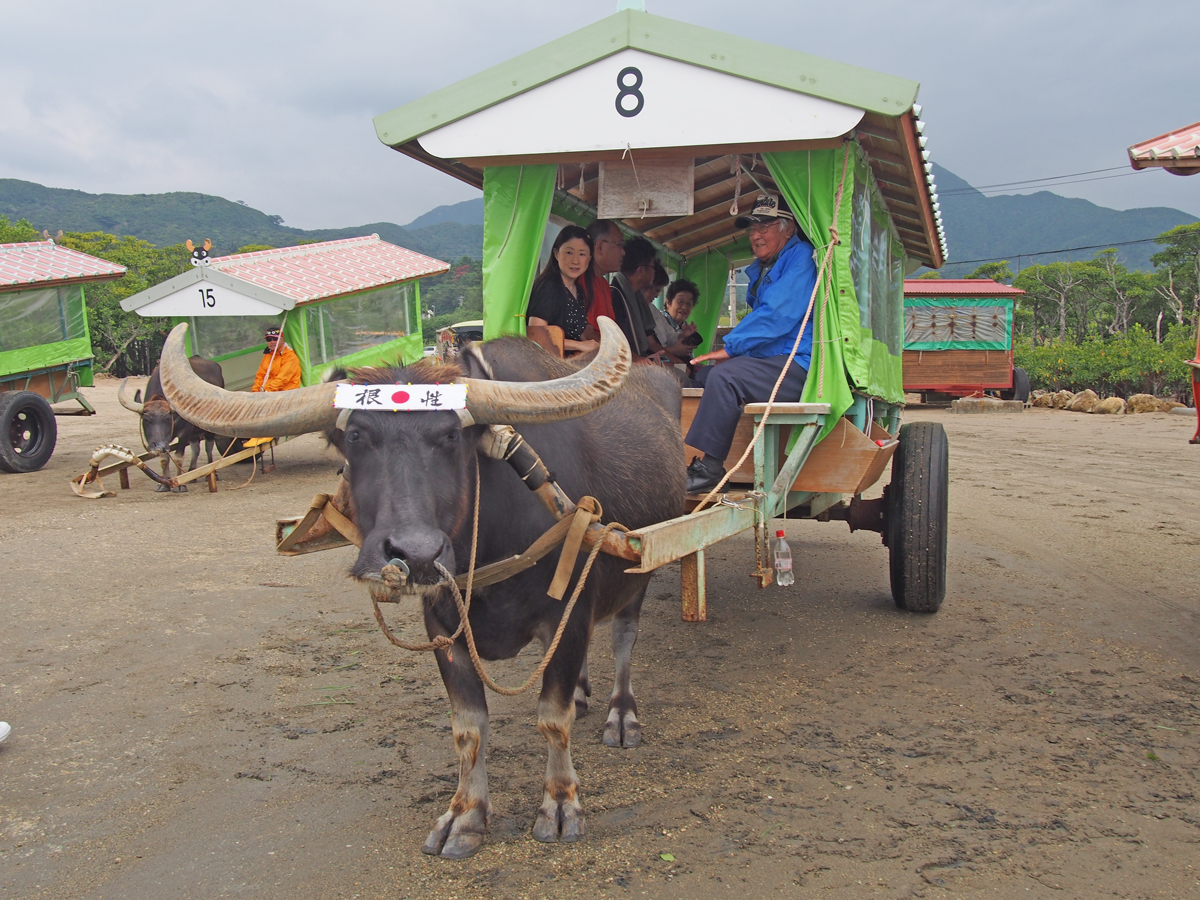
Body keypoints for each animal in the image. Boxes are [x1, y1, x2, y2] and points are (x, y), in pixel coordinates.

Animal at [119, 355, 226, 494]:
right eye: (146, 420)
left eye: (167, 419)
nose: (157, 446)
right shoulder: (167, 440)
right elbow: (164, 459)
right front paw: (164, 484)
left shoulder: (184, 433)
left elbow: (178, 457)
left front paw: (180, 484)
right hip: (193, 432)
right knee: (195, 448)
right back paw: (192, 473)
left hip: (208, 428)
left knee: (208, 447)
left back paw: (212, 472)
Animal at [157, 319, 686, 859]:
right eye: (354, 436)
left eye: (451, 435)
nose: (414, 555)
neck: (489, 544)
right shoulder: (442, 629)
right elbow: (469, 727)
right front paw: (465, 816)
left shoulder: (570, 613)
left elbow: (551, 718)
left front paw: (560, 805)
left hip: (639, 572)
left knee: (623, 638)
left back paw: (622, 716)